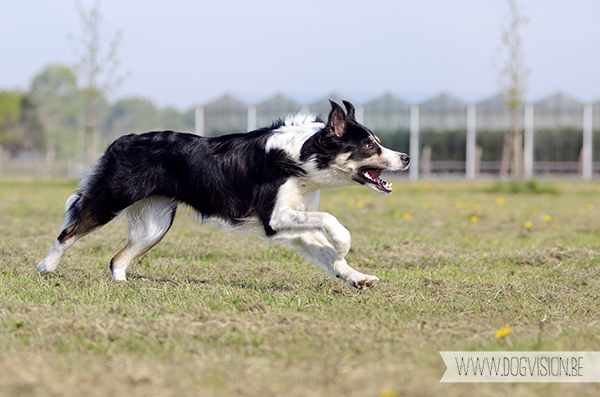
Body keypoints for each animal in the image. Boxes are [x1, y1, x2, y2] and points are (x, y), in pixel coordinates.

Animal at [36, 100, 408, 290]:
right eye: (369, 146)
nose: (405, 158)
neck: (302, 154)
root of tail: (121, 140)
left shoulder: (293, 223)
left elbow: (329, 255)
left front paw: (357, 278)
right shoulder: (275, 217)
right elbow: (331, 223)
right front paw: (345, 241)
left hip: (155, 224)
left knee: (117, 258)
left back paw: (122, 285)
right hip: (111, 200)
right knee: (68, 232)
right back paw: (46, 267)